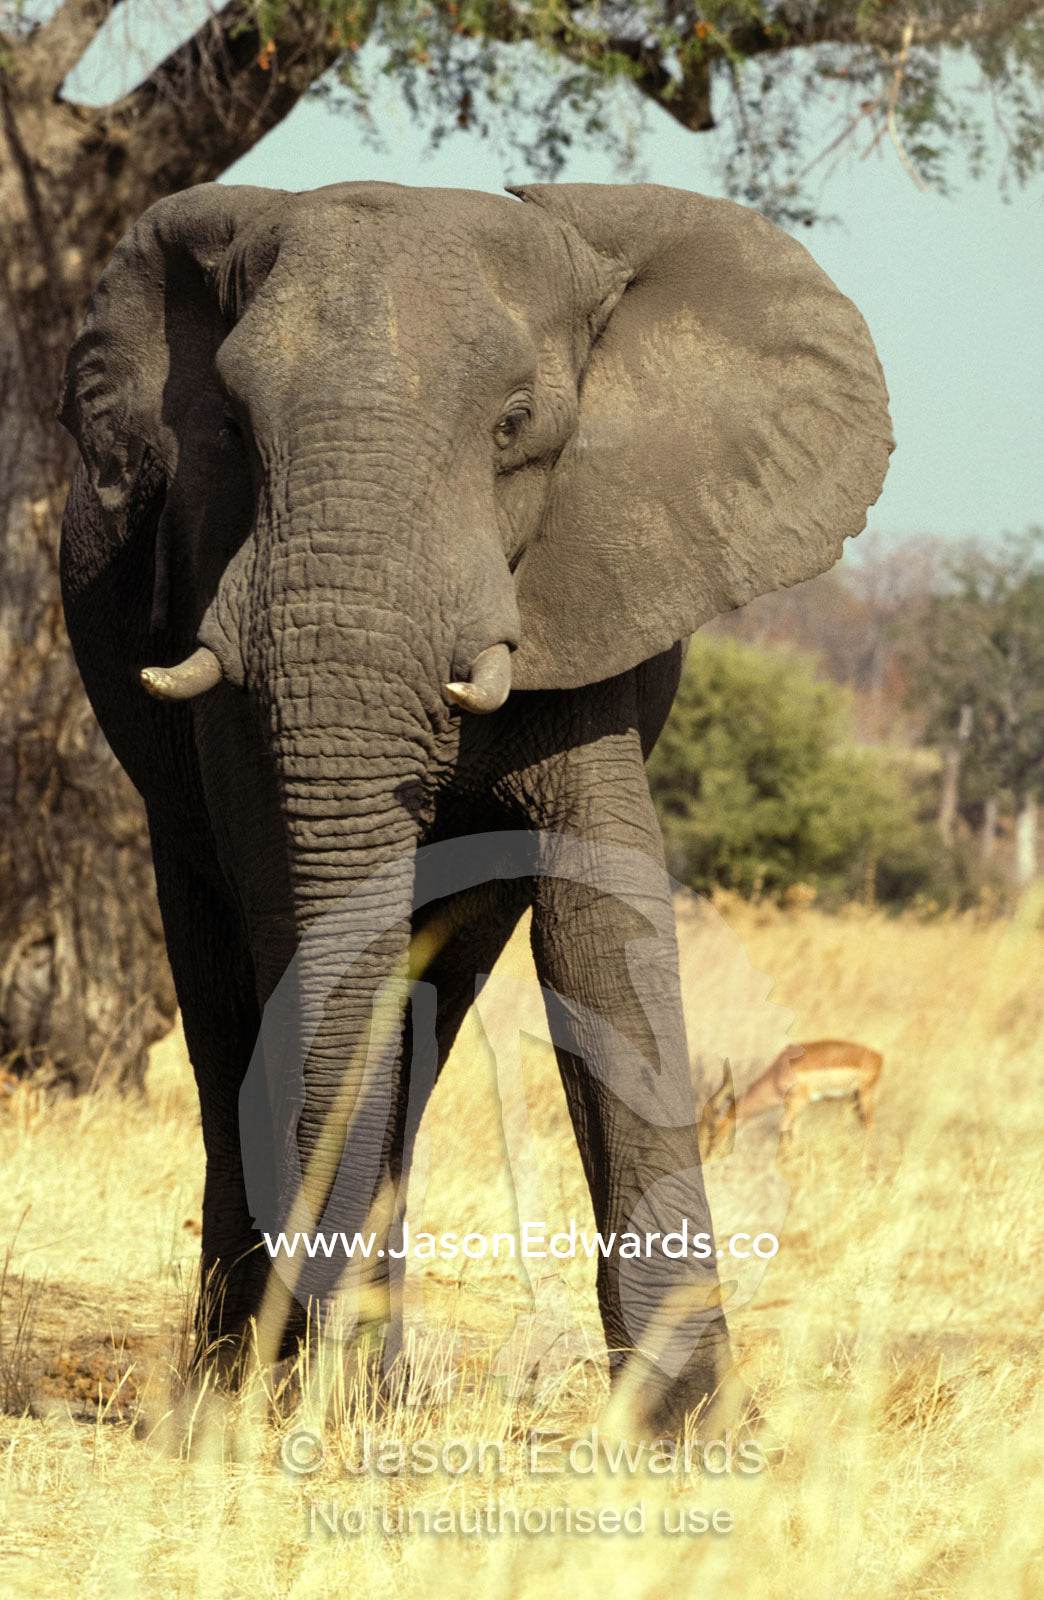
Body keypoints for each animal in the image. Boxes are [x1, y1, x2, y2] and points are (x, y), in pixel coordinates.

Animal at [699, 1041, 883, 1158]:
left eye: (714, 1132)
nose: (709, 1156)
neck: (777, 1072)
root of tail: (879, 1057)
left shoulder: (798, 1101)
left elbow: (784, 1124)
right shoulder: (793, 1104)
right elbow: (795, 1126)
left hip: (865, 1095)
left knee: (871, 1125)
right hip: (852, 1096)